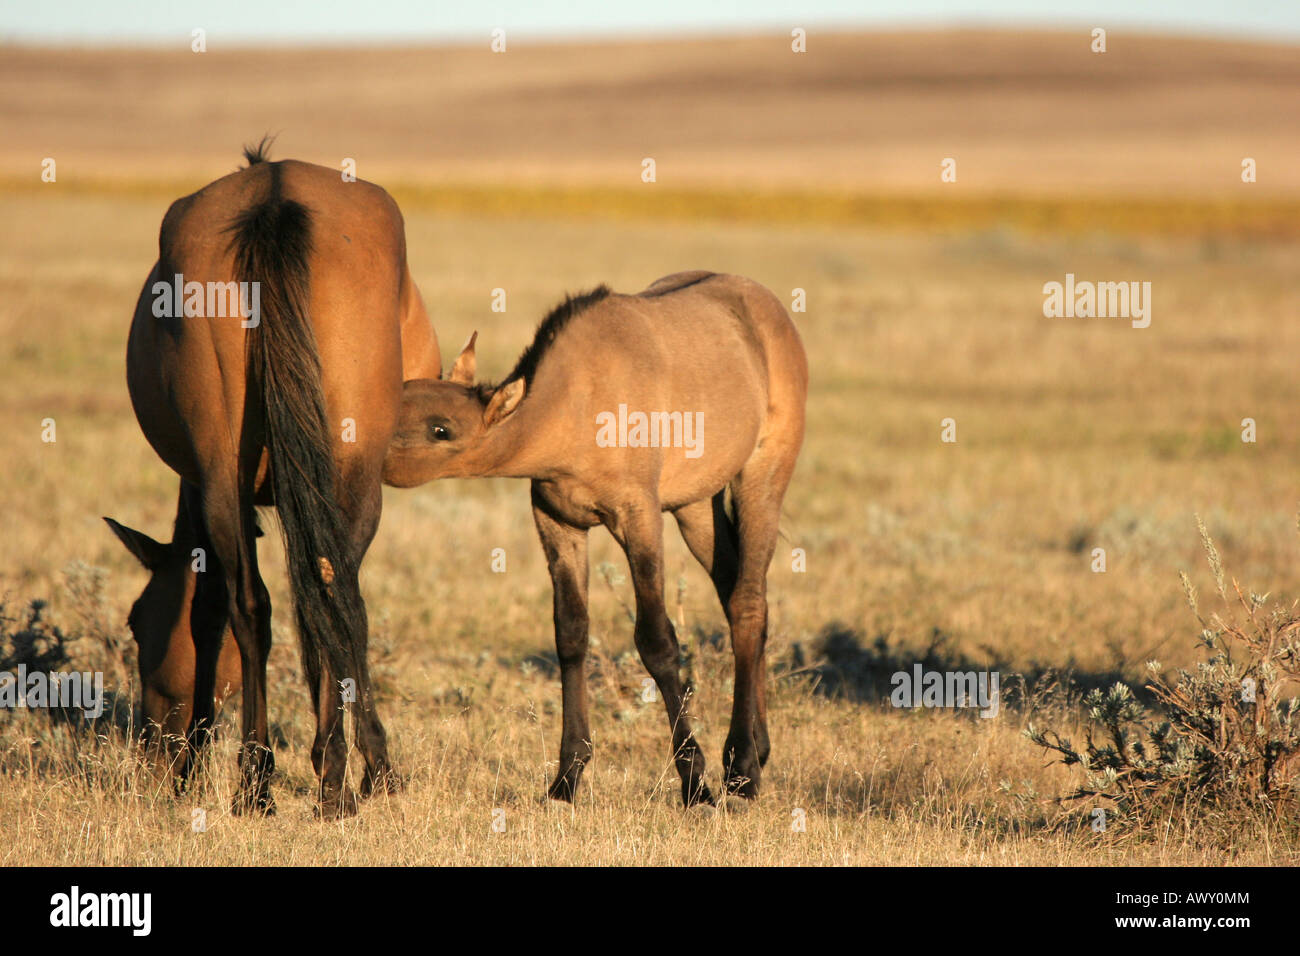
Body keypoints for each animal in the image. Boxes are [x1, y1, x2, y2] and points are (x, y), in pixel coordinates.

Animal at [109, 141, 439, 816]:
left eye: (136, 619)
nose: (153, 756)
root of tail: (273, 197)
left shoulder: (206, 488)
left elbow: (212, 612)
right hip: (345, 477)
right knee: (329, 593)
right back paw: (333, 775)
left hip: (232, 478)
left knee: (265, 603)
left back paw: (275, 780)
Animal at [387, 273, 800, 806]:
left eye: (440, 429)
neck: (577, 400)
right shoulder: (558, 523)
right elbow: (571, 634)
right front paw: (568, 777)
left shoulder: (638, 519)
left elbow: (657, 641)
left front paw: (693, 780)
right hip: (695, 508)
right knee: (741, 599)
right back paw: (757, 747)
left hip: (761, 481)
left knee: (748, 604)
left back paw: (743, 767)